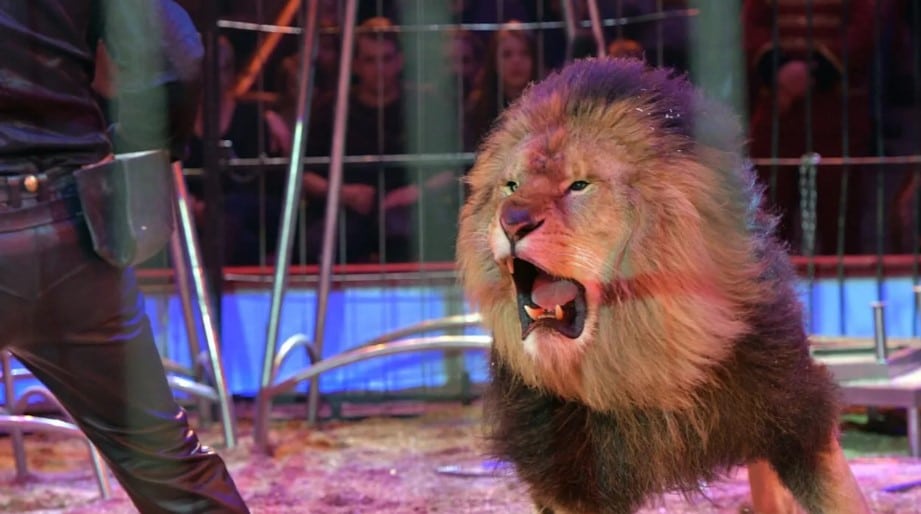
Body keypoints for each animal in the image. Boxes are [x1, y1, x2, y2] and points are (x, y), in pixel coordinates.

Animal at [456, 58, 869, 514]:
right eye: (511, 185)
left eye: (579, 185)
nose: (513, 221)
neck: (645, 367)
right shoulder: (567, 476)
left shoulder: (795, 413)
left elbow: (838, 495)